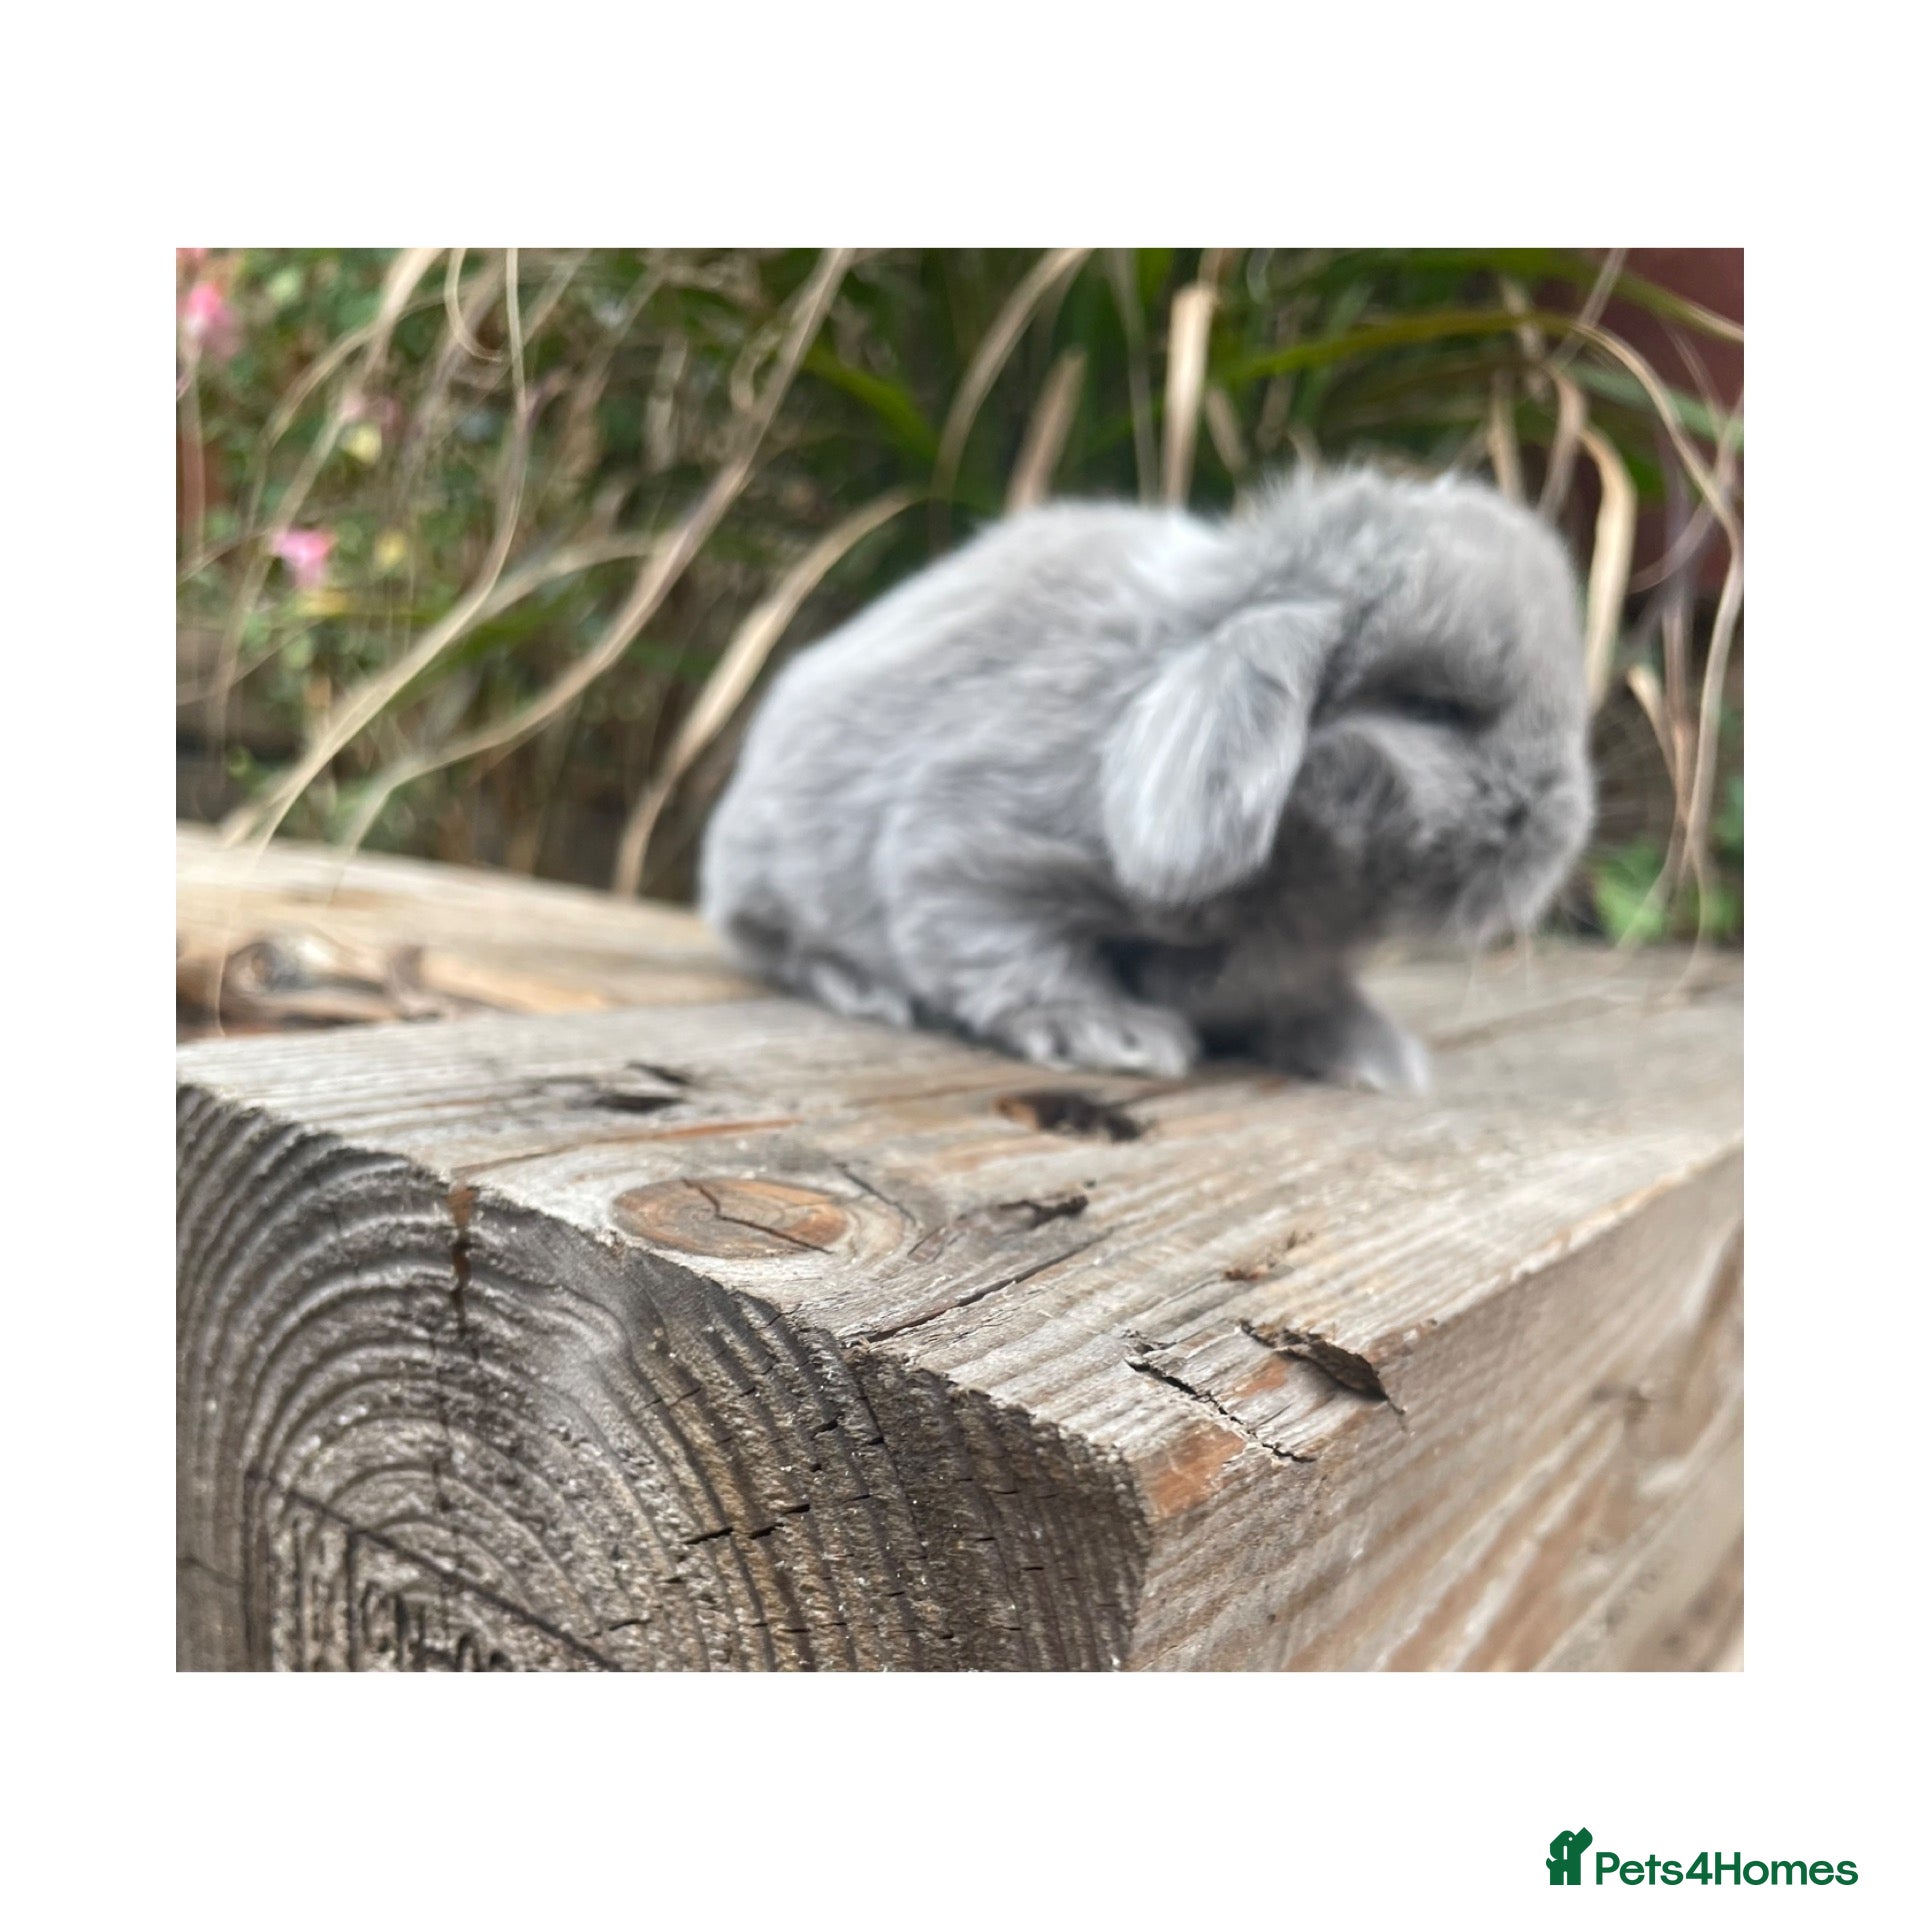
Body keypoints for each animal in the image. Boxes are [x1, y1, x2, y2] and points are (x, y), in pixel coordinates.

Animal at [699, 464, 1593, 1092]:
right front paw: (1116, 1036)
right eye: (1432, 707)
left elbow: (1312, 997)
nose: (1558, 828)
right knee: (776, 947)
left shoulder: (1299, 967)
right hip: (774, 878)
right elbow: (1008, 953)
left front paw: (1373, 1057)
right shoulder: (961, 855)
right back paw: (864, 991)